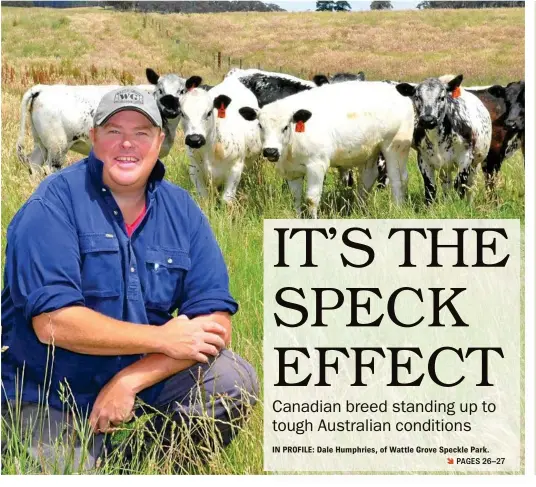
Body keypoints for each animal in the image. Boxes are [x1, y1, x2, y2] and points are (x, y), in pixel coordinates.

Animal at [180, 75, 262, 204]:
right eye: (182, 113)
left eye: (209, 113)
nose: (194, 139)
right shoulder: (194, 170)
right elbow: (203, 198)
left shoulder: (235, 169)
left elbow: (226, 200)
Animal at [238, 81, 414, 218]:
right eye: (260, 125)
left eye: (285, 126)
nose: (270, 151)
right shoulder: (291, 171)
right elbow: (296, 197)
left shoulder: (317, 165)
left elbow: (311, 199)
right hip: (370, 151)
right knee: (367, 179)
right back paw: (360, 210)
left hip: (394, 148)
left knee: (398, 179)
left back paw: (397, 209)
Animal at [396, 75, 492, 205]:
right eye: (417, 97)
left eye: (441, 97)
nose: (427, 120)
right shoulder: (423, 159)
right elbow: (430, 188)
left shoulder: (466, 158)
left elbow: (460, 184)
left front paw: (460, 205)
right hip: (445, 167)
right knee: (447, 184)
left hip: (475, 163)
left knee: (470, 185)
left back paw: (469, 203)